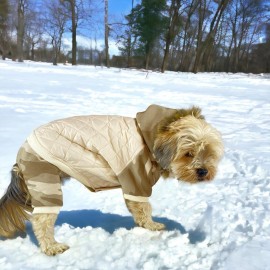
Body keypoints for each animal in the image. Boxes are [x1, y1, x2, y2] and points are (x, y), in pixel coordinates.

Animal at [0, 105, 224, 255]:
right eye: (188, 153)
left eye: (209, 152)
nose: (203, 171)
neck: (156, 137)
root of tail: (22, 150)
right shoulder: (136, 179)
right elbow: (143, 208)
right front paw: (152, 226)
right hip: (45, 180)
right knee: (41, 220)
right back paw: (52, 247)